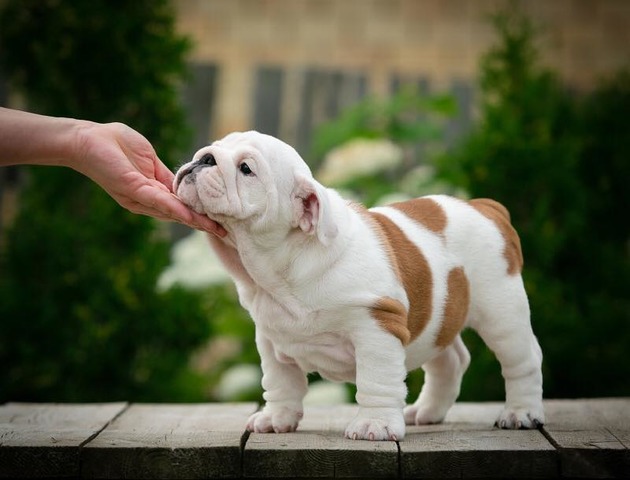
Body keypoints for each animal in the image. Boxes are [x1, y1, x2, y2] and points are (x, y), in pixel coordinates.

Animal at [175, 131, 544, 442]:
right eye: (213, 148)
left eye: (246, 169)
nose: (204, 158)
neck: (281, 267)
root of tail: (485, 207)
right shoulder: (270, 339)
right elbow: (280, 382)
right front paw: (276, 418)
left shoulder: (377, 327)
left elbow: (376, 380)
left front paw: (375, 425)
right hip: (441, 315)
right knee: (450, 360)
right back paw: (427, 411)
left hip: (501, 312)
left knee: (522, 359)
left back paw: (521, 413)